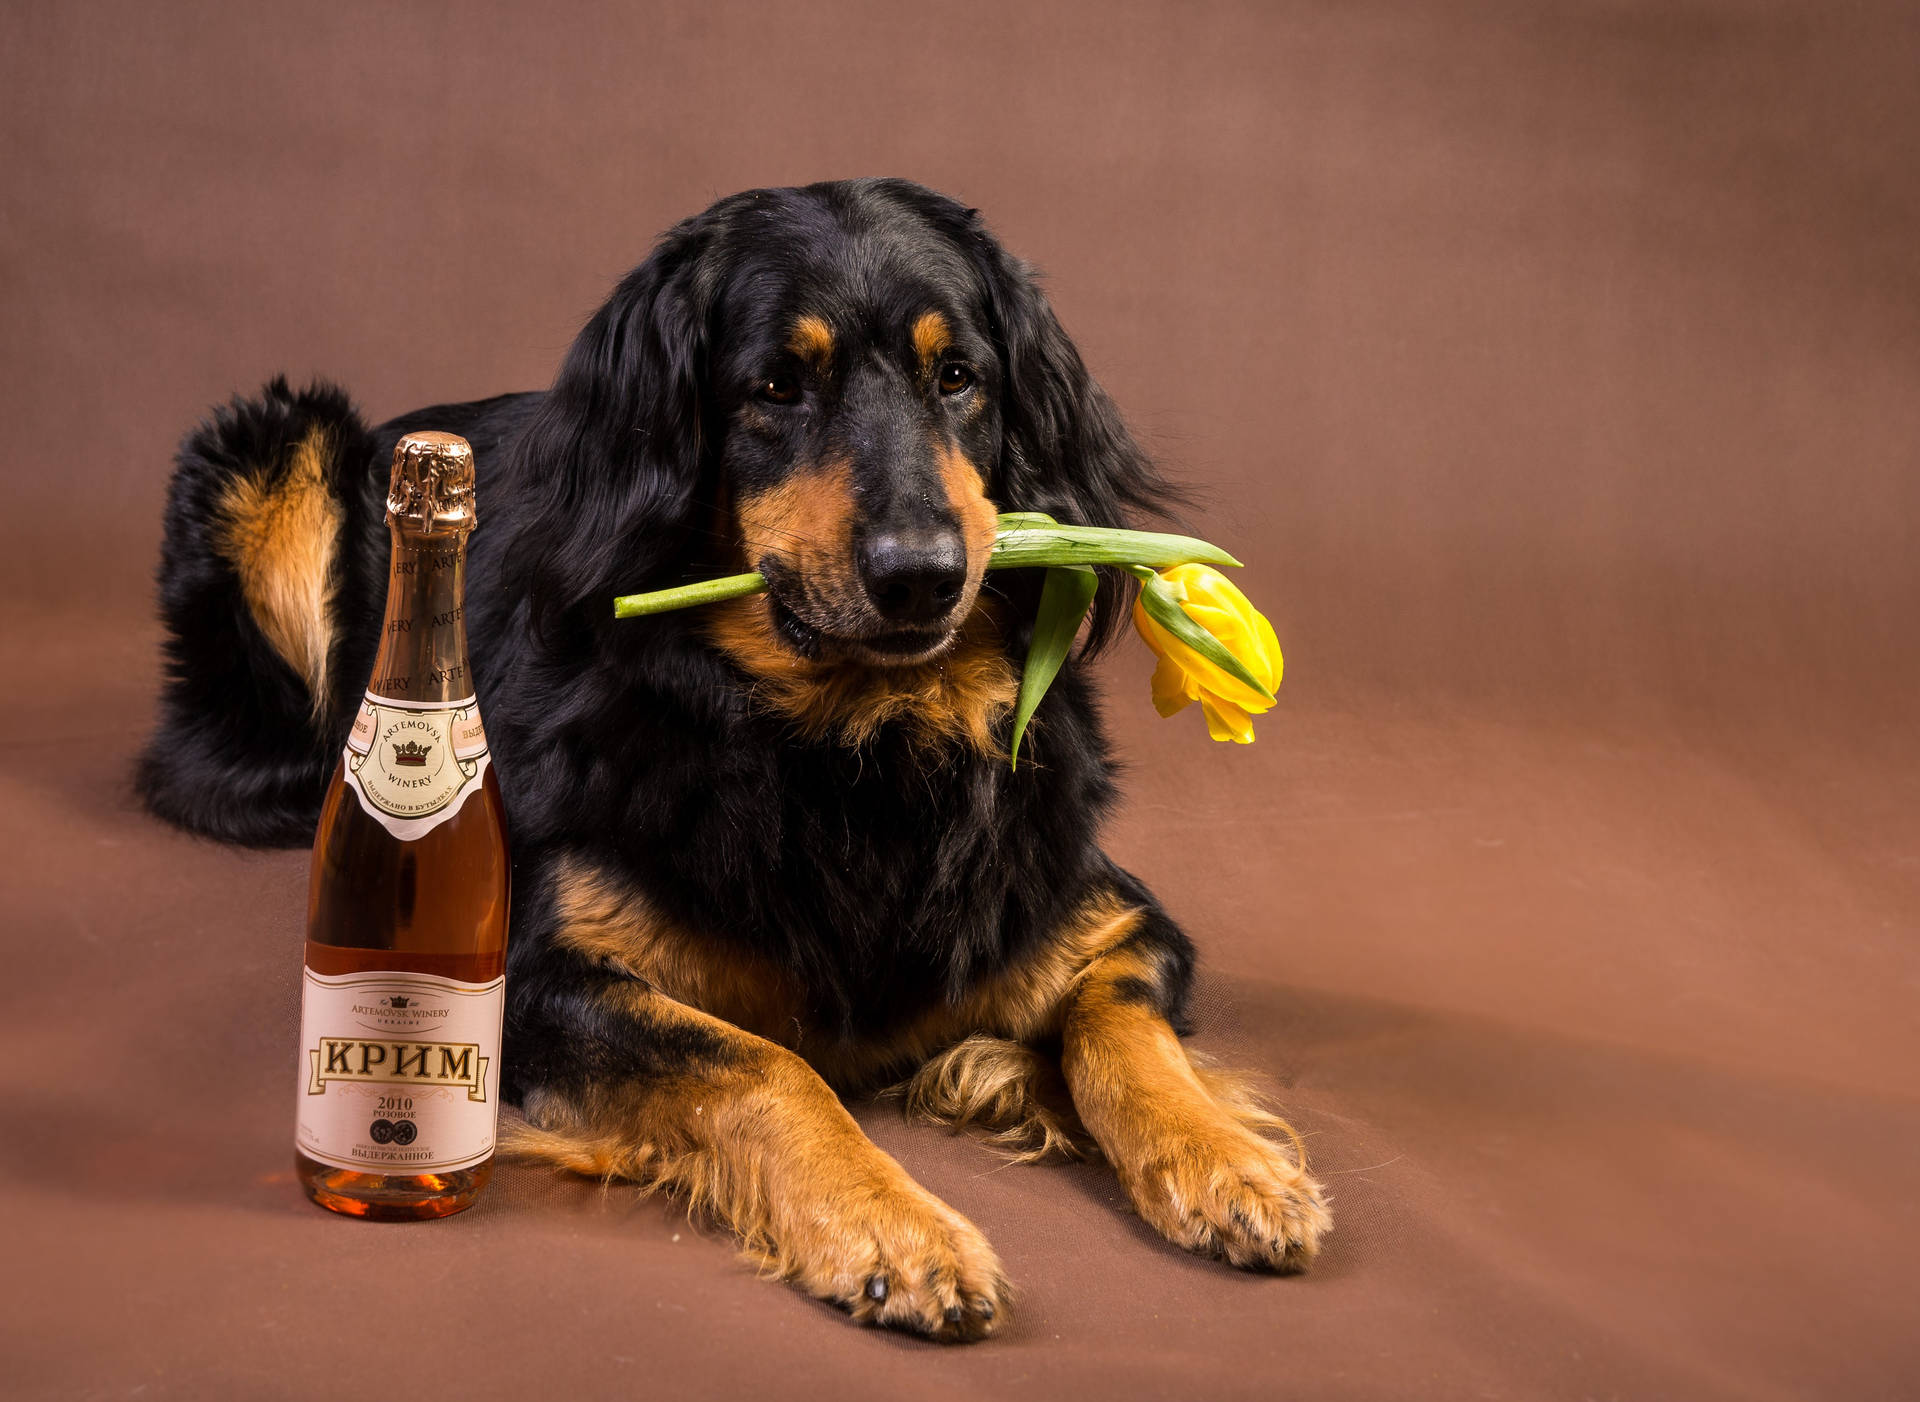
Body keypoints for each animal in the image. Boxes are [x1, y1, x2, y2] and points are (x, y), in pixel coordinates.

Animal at [142, 180, 1328, 1336]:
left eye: (959, 378)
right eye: (775, 386)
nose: (923, 574)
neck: (860, 746)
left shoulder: (1104, 908)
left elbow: (1124, 1024)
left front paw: (1226, 1160)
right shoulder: (538, 974)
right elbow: (765, 1059)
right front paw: (897, 1227)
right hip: (281, 448)